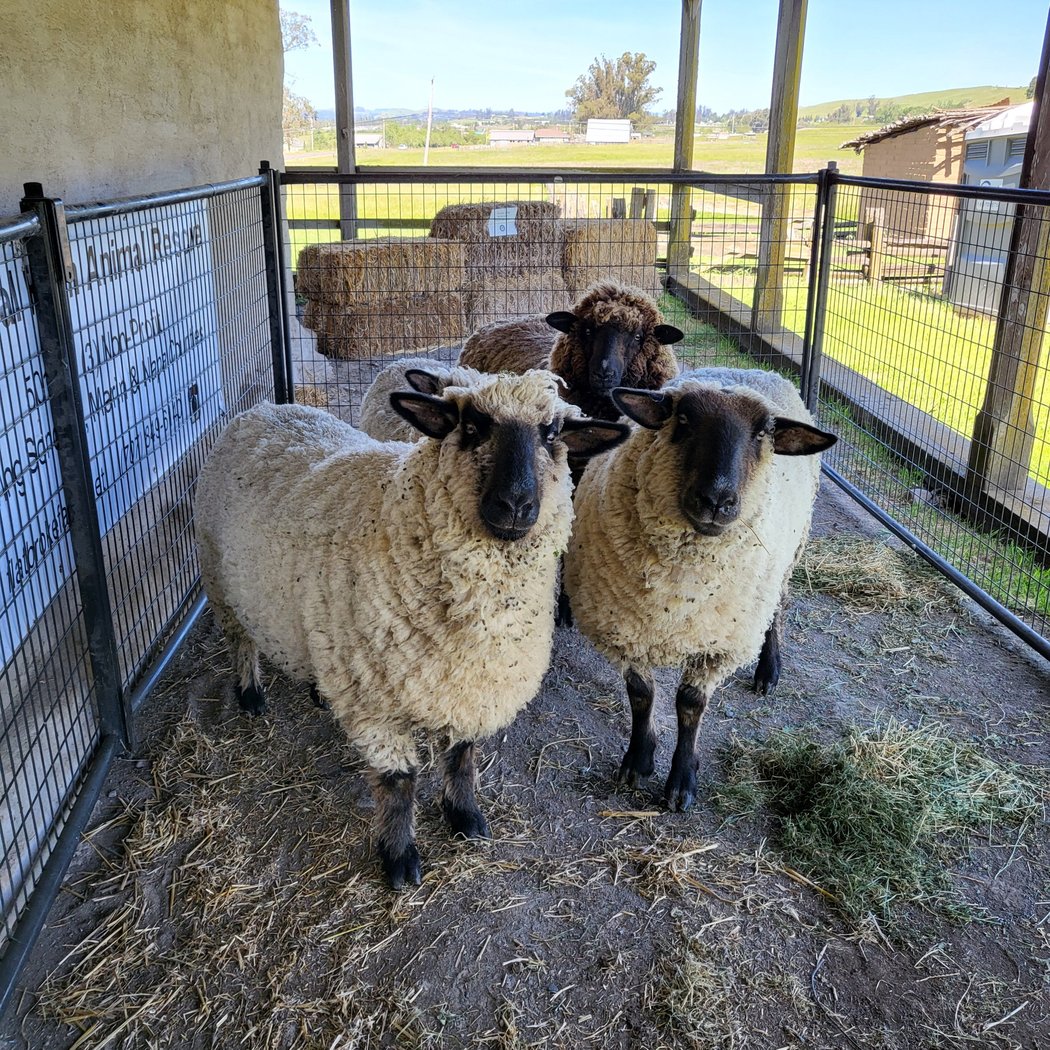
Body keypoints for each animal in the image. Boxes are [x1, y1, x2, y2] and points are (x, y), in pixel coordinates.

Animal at [194, 372, 629, 888]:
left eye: (552, 434)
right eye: (472, 426)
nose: (516, 504)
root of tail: (266, 408)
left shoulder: (471, 686)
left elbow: (462, 757)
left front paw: (464, 816)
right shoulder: (375, 705)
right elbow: (398, 783)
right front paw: (399, 857)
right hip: (220, 579)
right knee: (240, 641)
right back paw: (250, 694)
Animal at [563, 368, 836, 811]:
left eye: (764, 432)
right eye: (684, 419)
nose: (717, 500)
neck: (677, 597)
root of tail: (756, 370)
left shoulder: (717, 645)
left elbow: (690, 705)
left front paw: (681, 782)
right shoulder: (625, 628)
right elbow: (641, 694)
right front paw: (638, 760)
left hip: (785, 559)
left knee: (778, 609)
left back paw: (769, 669)